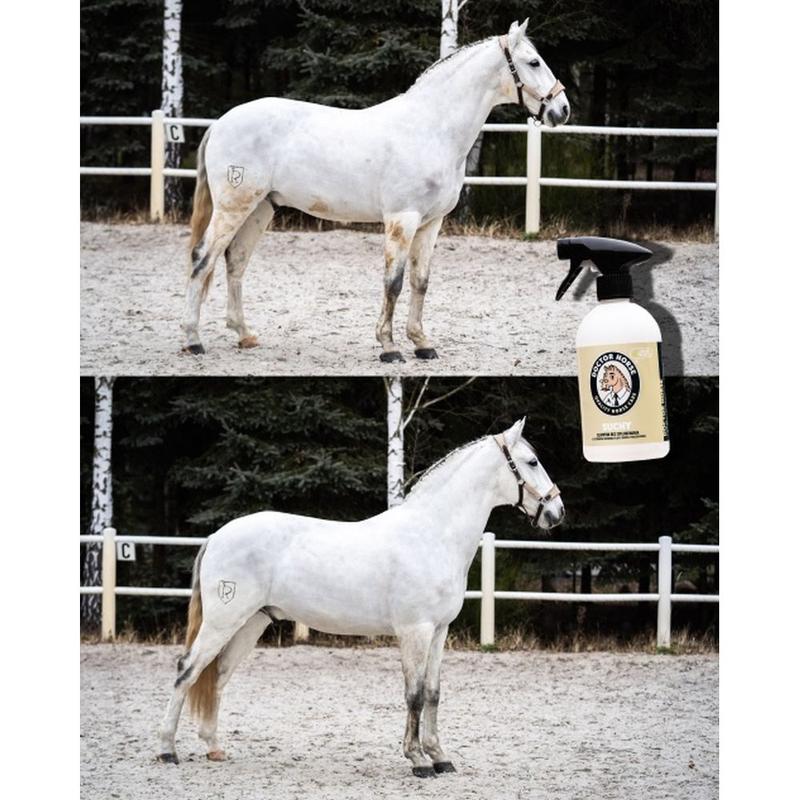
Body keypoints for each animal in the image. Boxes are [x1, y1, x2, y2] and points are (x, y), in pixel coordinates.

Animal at [157, 418, 564, 777]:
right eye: (532, 462)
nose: (556, 512)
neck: (431, 534)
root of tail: (217, 536)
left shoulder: (438, 632)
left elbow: (433, 693)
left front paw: (440, 758)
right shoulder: (414, 631)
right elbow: (414, 695)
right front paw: (418, 760)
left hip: (250, 624)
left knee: (217, 675)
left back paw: (214, 748)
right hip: (223, 621)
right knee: (187, 670)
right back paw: (167, 751)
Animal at [181, 19, 570, 361]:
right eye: (533, 62)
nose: (561, 109)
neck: (430, 128)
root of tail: (221, 122)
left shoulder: (431, 224)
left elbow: (420, 281)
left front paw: (422, 344)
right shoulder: (402, 220)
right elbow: (393, 283)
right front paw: (389, 347)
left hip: (261, 208)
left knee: (235, 262)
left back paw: (245, 335)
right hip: (234, 206)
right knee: (203, 257)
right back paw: (193, 340)